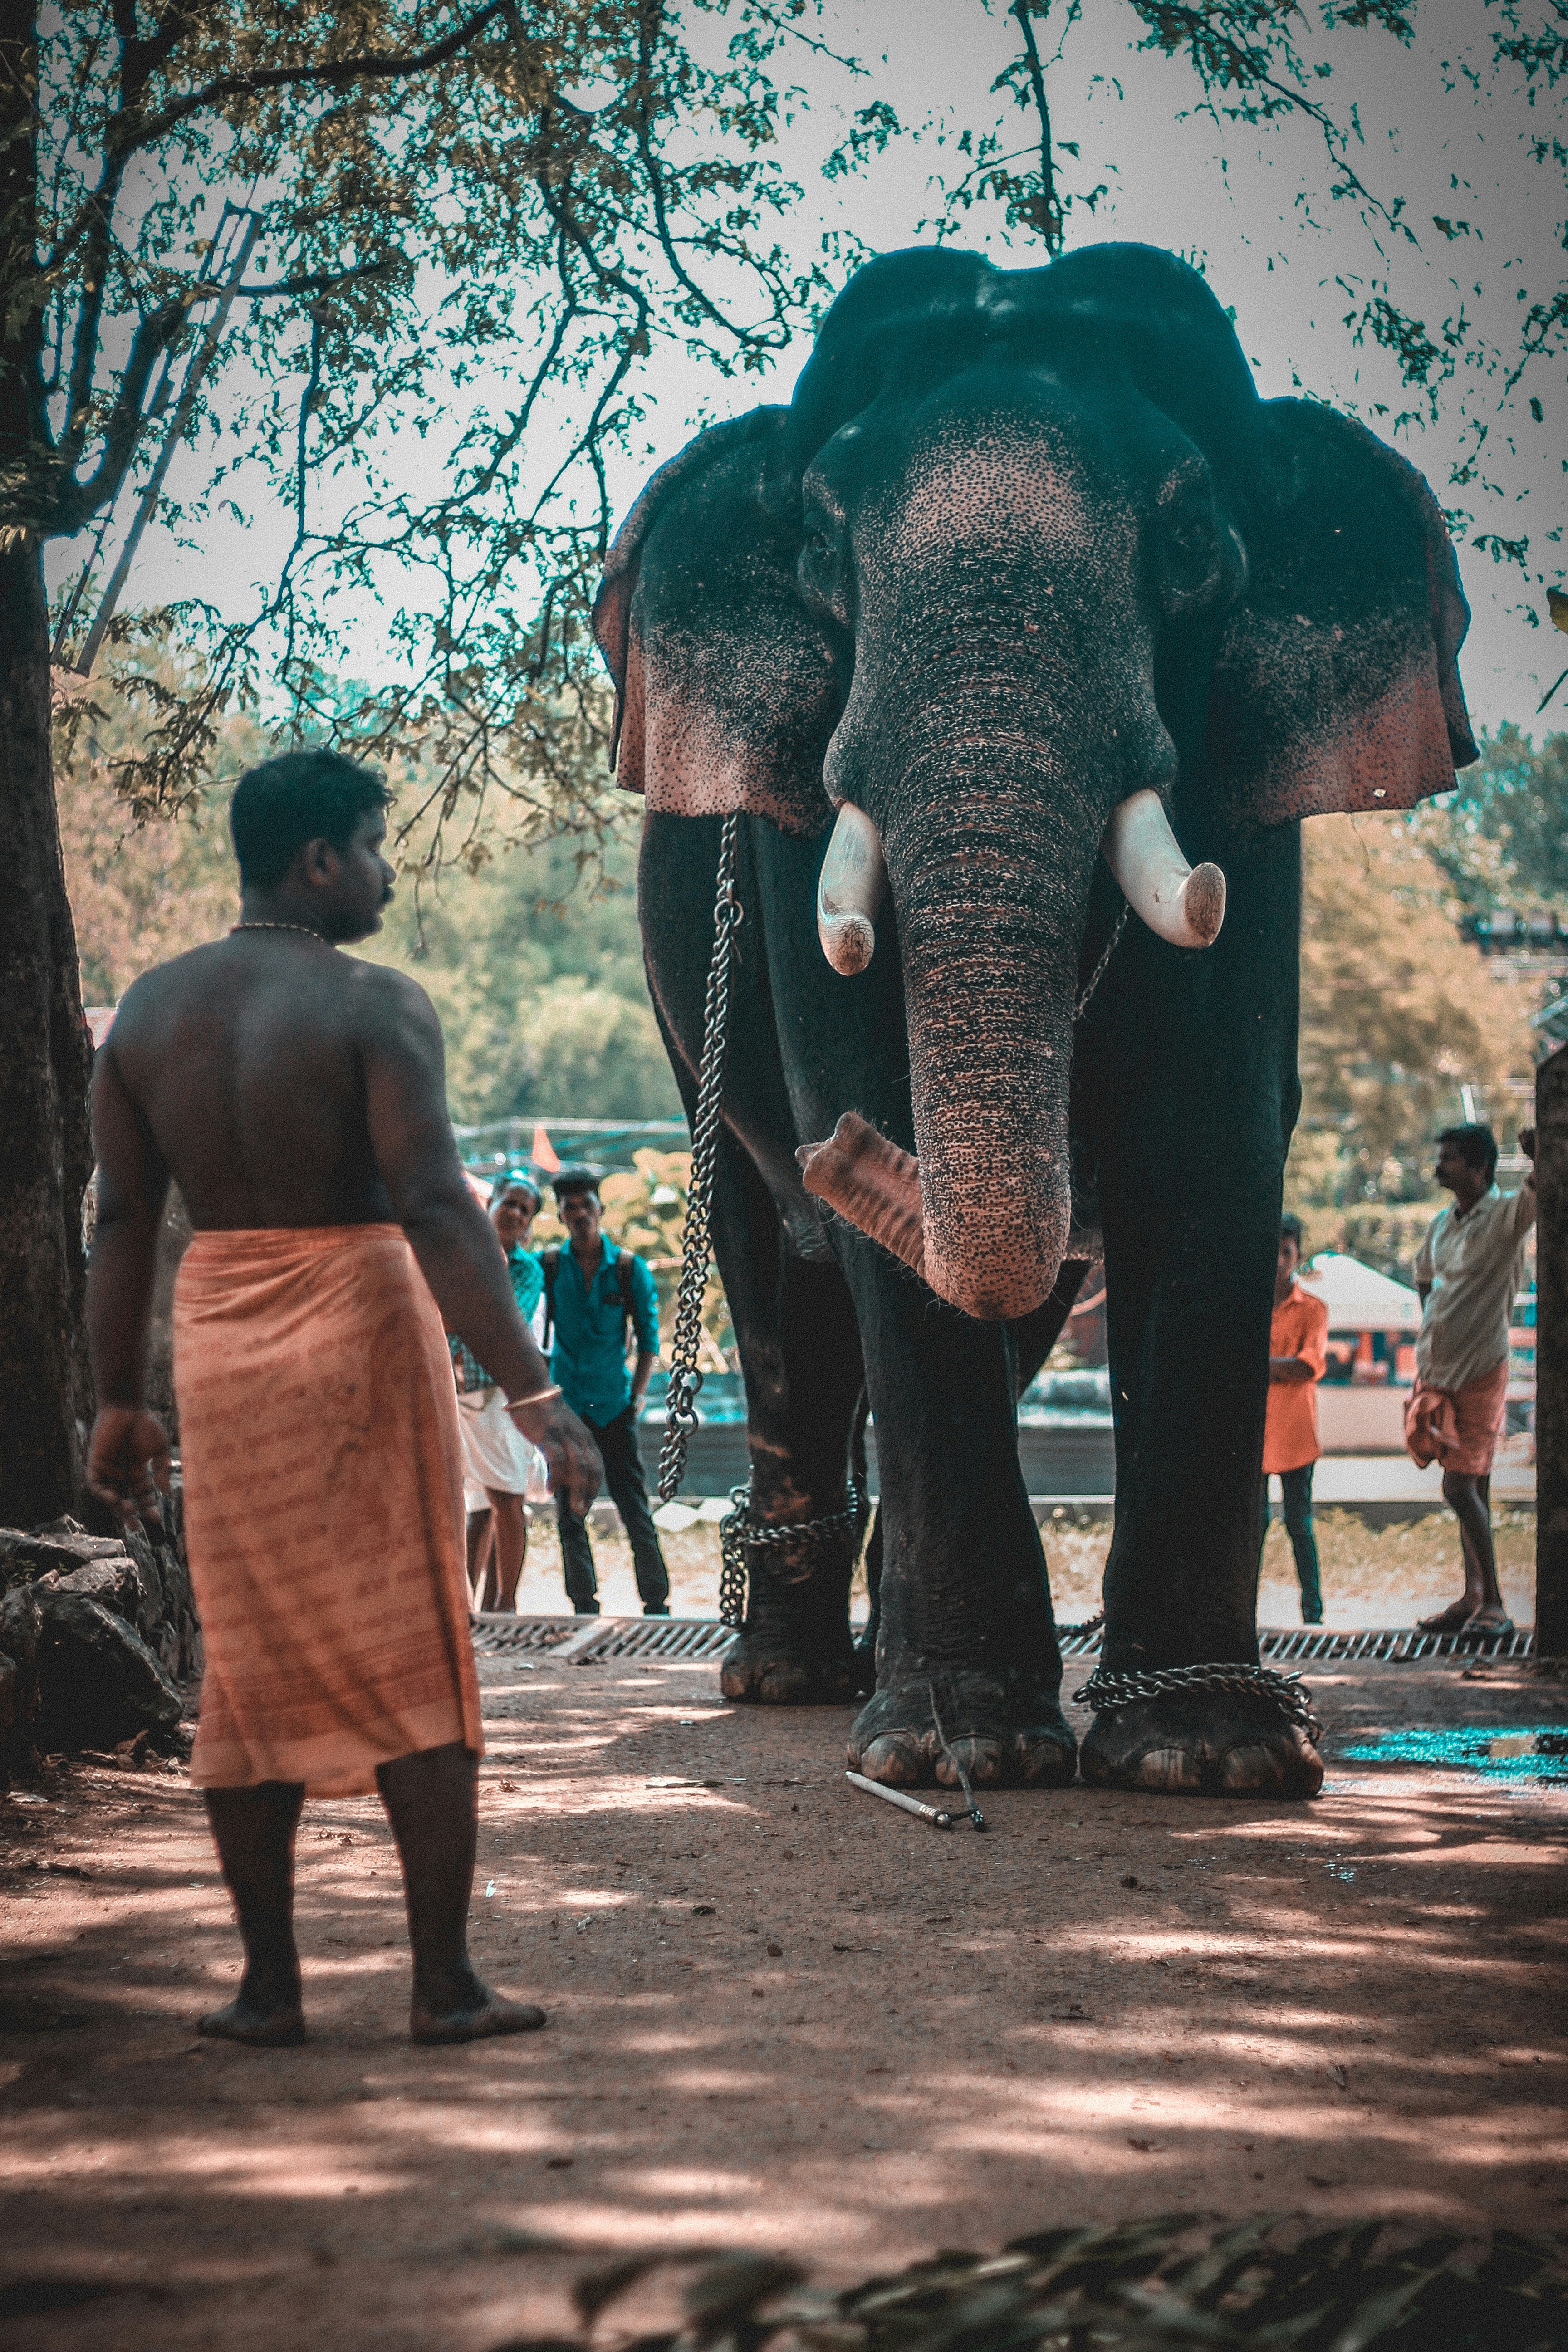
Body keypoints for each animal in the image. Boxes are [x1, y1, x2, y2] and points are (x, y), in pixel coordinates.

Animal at [593, 241, 1475, 1798]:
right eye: (821, 550)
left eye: (1191, 537)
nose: (851, 1157)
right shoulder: (793, 828)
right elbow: (864, 1111)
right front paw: (957, 1751)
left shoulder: (1249, 799)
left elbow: (1209, 1140)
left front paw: (1208, 1756)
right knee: (780, 1275)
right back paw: (793, 1678)